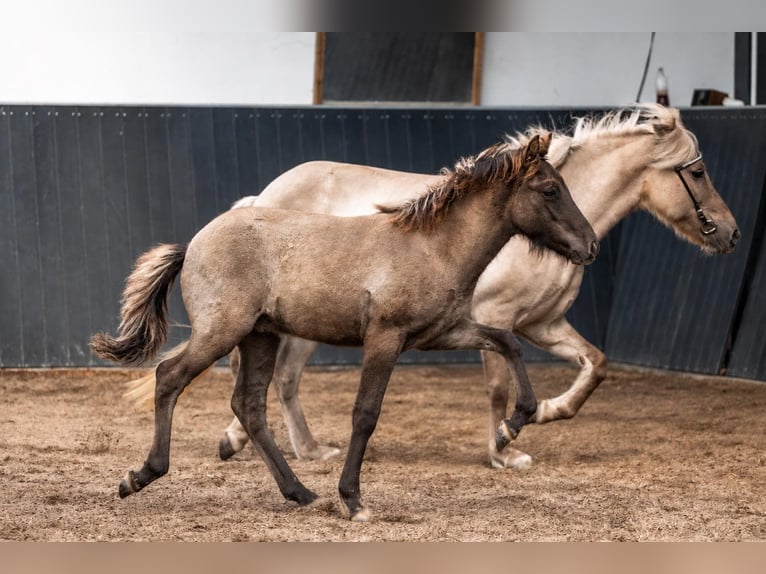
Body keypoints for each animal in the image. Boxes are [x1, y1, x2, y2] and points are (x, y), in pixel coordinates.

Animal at [92, 134, 599, 521]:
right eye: (550, 190)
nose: (590, 246)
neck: (434, 247)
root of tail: (194, 243)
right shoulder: (385, 338)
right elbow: (365, 414)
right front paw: (353, 500)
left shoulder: (440, 334)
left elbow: (508, 343)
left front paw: (512, 427)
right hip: (222, 331)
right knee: (170, 378)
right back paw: (139, 476)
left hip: (260, 336)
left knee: (249, 405)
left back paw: (300, 492)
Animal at [126, 103, 740, 471]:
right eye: (698, 171)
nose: (731, 233)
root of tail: (262, 196)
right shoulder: (497, 315)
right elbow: (497, 388)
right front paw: (503, 447)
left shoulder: (542, 324)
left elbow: (595, 365)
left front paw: (543, 414)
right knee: (270, 378)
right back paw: (271, 446)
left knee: (279, 380)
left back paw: (297, 449)